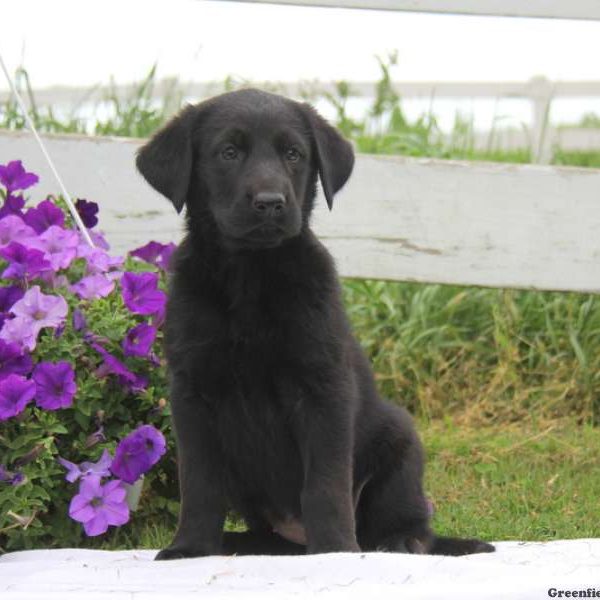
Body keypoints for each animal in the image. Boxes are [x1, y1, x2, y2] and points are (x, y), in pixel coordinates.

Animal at [138, 89, 494, 556]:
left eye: (293, 154)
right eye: (228, 152)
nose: (270, 202)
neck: (251, 275)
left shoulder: (323, 388)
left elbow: (325, 483)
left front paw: (335, 550)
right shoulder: (192, 392)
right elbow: (199, 482)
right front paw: (191, 547)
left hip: (400, 441)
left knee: (408, 523)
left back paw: (398, 543)